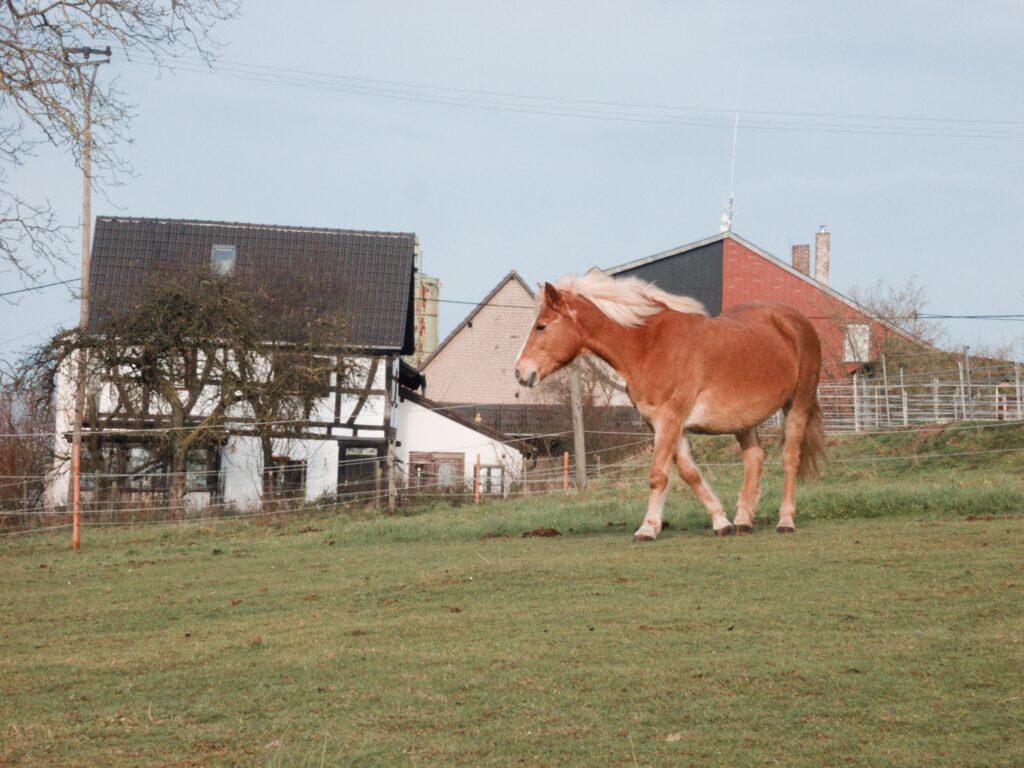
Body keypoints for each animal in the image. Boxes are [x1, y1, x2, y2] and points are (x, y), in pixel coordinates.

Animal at [512, 274, 823, 544]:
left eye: (541, 326)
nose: (520, 372)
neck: (649, 346)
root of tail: (794, 321)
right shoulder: (664, 424)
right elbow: (689, 473)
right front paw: (721, 522)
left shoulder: (669, 421)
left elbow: (658, 475)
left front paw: (647, 528)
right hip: (743, 420)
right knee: (754, 458)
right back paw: (743, 521)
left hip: (797, 405)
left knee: (790, 458)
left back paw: (786, 521)